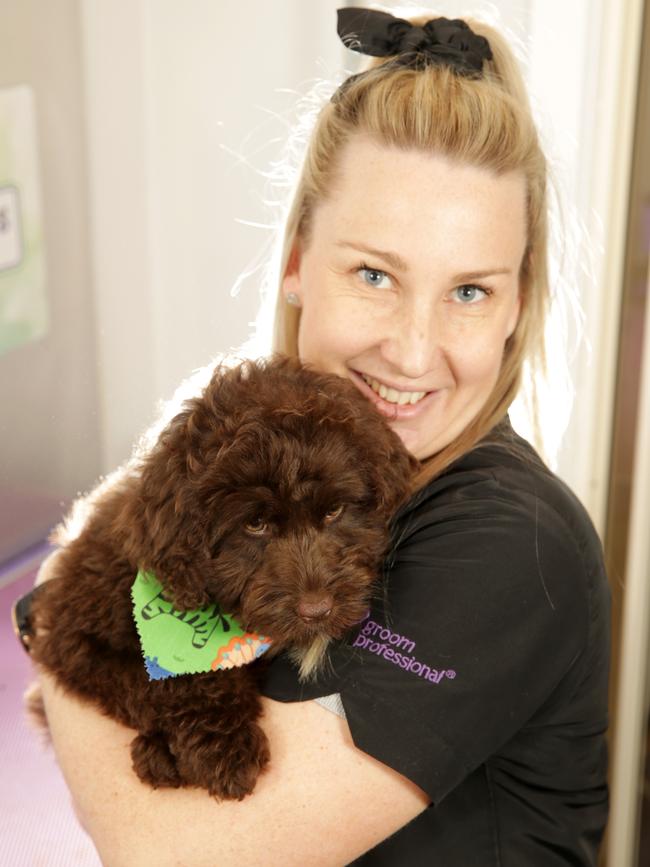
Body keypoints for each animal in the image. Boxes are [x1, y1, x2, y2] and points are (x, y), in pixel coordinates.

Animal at [27, 354, 416, 800]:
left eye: (334, 511)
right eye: (255, 524)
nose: (317, 611)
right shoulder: (69, 635)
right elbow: (150, 683)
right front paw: (220, 748)